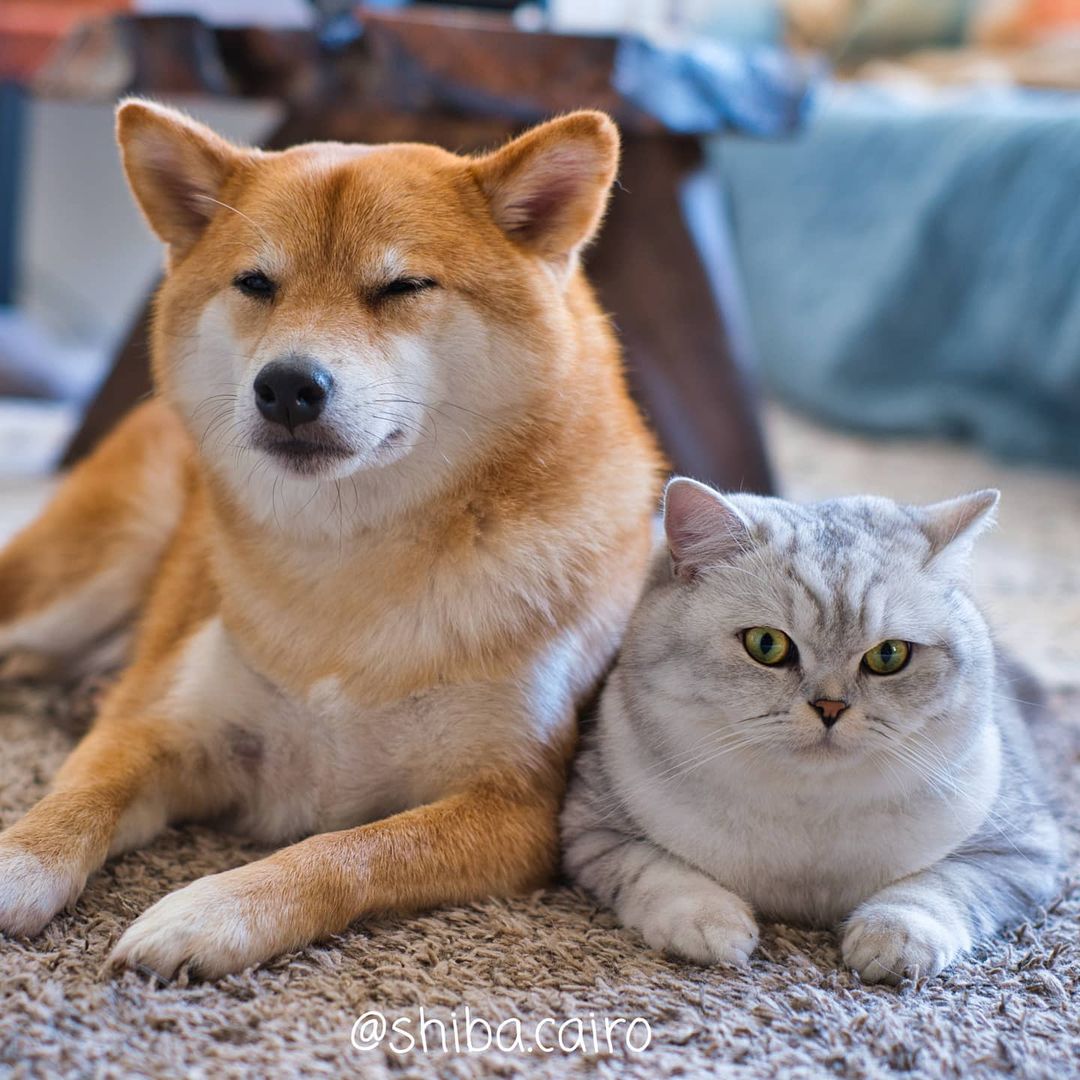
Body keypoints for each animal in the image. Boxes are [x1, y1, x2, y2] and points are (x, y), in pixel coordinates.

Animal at [0, 101, 656, 980]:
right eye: (256, 283)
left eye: (402, 286)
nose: (286, 385)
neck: (347, 567)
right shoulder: (164, 732)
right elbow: (74, 798)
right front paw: (17, 865)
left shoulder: (515, 807)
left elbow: (347, 851)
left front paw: (215, 911)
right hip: (85, 576)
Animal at [565, 477, 1062, 984]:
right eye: (766, 644)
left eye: (889, 655)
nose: (830, 706)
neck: (810, 812)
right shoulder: (593, 833)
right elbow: (657, 871)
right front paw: (708, 924)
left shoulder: (1024, 853)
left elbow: (941, 886)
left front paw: (894, 938)